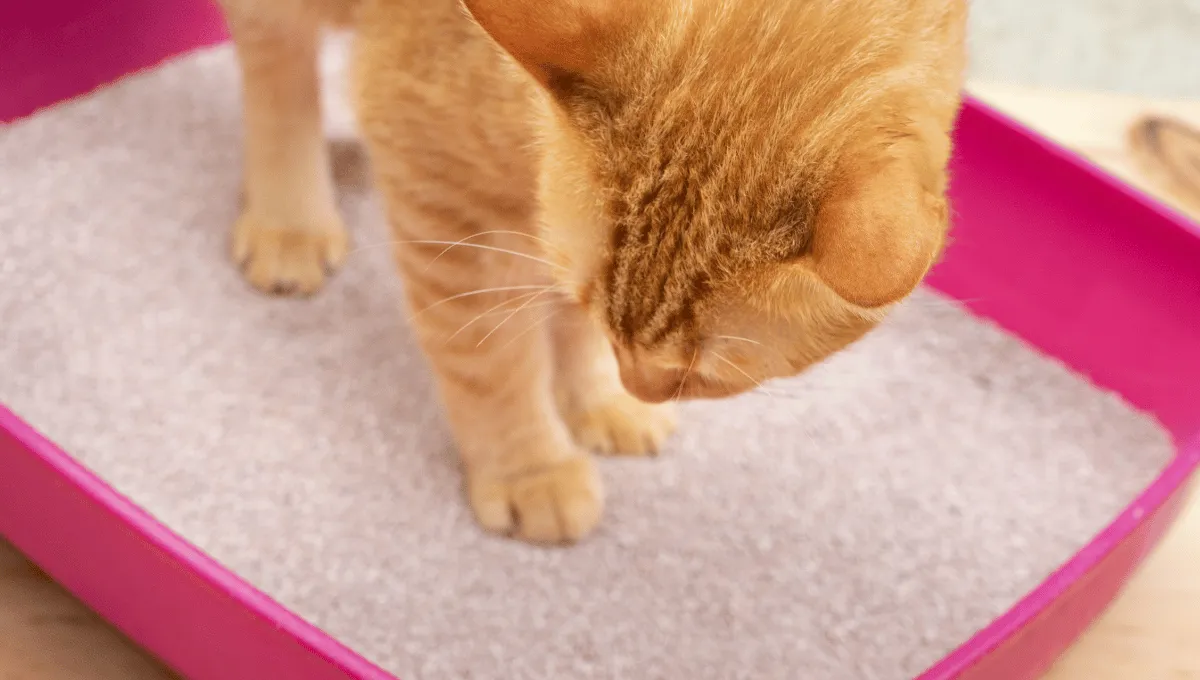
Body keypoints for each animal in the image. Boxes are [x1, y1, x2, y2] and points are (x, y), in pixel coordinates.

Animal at [213, 0, 964, 544]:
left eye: (703, 374)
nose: (639, 383)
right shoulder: (441, 186)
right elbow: (489, 362)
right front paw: (530, 467)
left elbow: (570, 313)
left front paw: (597, 397)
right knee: (273, 63)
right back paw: (289, 217)